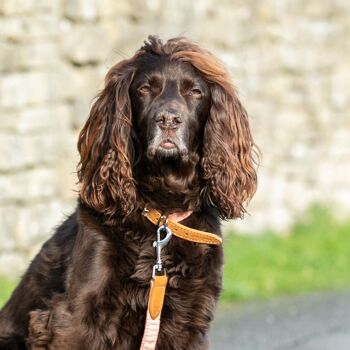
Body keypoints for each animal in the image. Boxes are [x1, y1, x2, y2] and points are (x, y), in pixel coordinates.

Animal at [0, 36, 258, 350]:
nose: (168, 119)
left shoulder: (190, 317)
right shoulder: (71, 317)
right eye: (145, 89)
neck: (162, 211)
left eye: (195, 92)